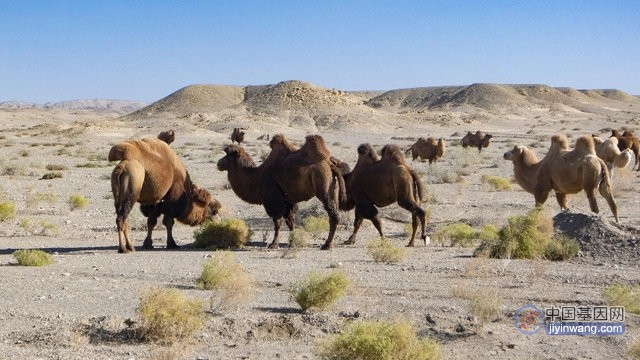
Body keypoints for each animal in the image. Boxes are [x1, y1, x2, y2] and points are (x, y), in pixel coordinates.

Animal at [216, 134, 344, 249]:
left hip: (323, 187)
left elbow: (277, 223)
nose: (218, 163)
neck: (257, 177)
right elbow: (290, 222)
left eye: (229, 155)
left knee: (333, 215)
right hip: (333, 190)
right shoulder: (288, 202)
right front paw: (292, 243)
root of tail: (330, 164)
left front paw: (273, 244)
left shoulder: (274, 201)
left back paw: (327, 245)